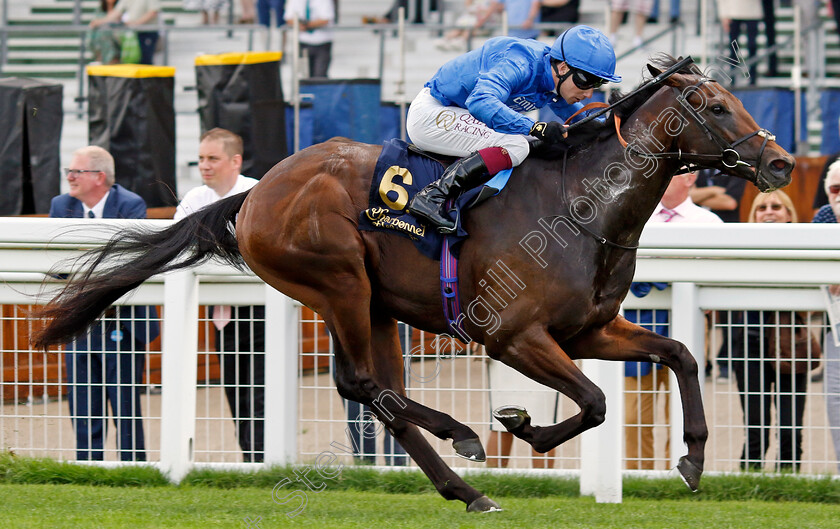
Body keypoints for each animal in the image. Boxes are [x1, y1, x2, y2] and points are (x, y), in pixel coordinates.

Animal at [32, 55, 796, 510]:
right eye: (715, 106)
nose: (782, 163)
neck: (580, 204)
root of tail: (253, 193)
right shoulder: (511, 334)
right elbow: (594, 401)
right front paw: (521, 424)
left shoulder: (589, 328)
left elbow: (679, 356)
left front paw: (692, 459)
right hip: (337, 279)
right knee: (363, 384)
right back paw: (464, 440)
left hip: (372, 301)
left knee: (383, 393)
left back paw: (464, 487)